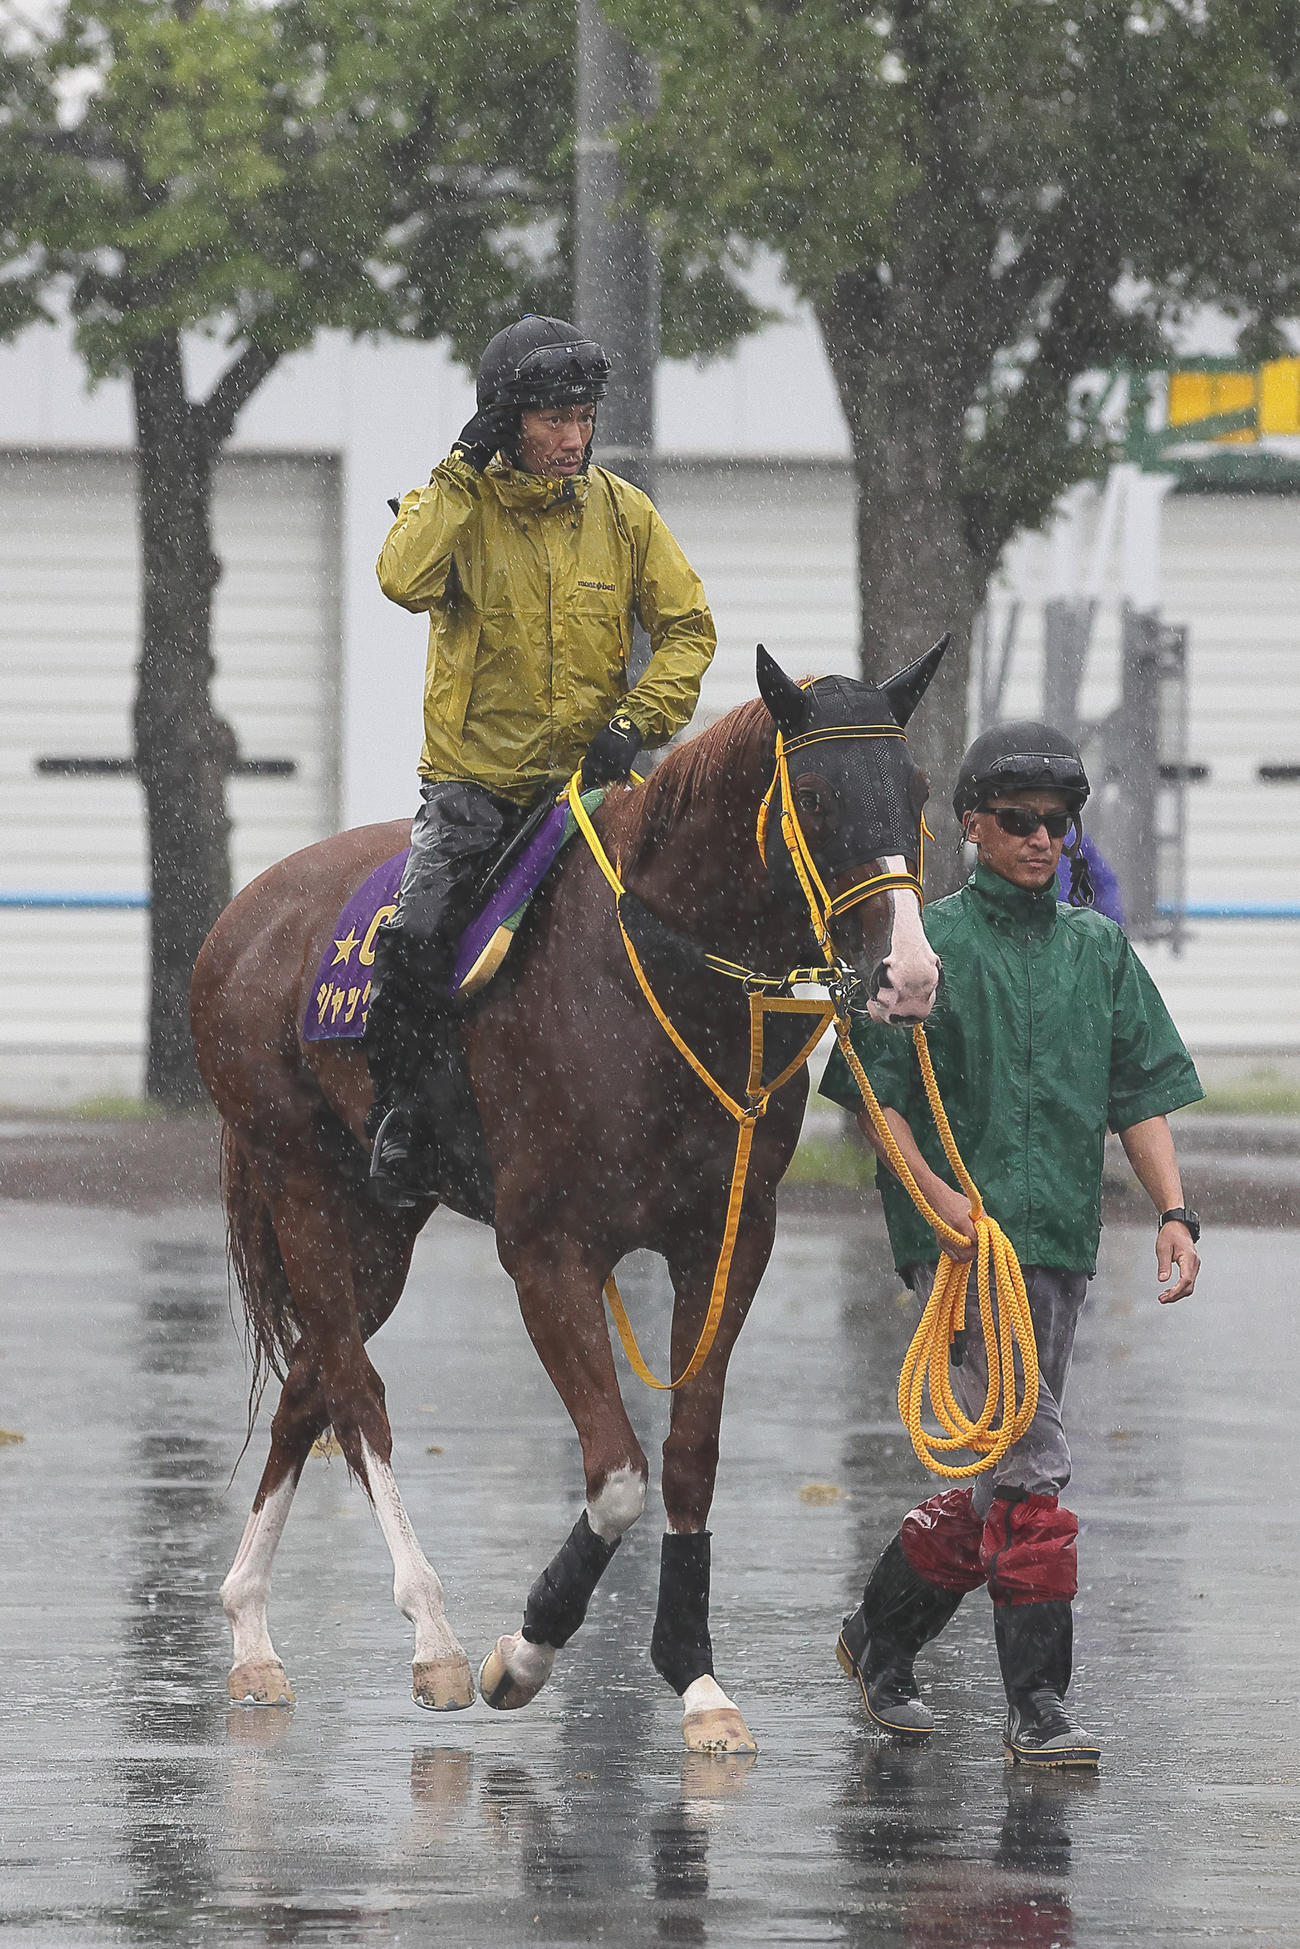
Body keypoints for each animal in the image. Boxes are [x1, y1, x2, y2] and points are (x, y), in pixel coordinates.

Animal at [191, 641, 946, 1753]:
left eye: (918, 790)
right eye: (814, 795)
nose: (909, 973)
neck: (655, 980)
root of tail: (243, 915)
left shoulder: (728, 1243)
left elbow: (686, 1456)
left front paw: (695, 1676)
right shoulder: (548, 1253)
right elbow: (618, 1470)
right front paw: (525, 1648)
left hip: (381, 1222)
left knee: (309, 1383)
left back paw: (251, 1632)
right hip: (302, 1185)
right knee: (357, 1394)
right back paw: (433, 1635)